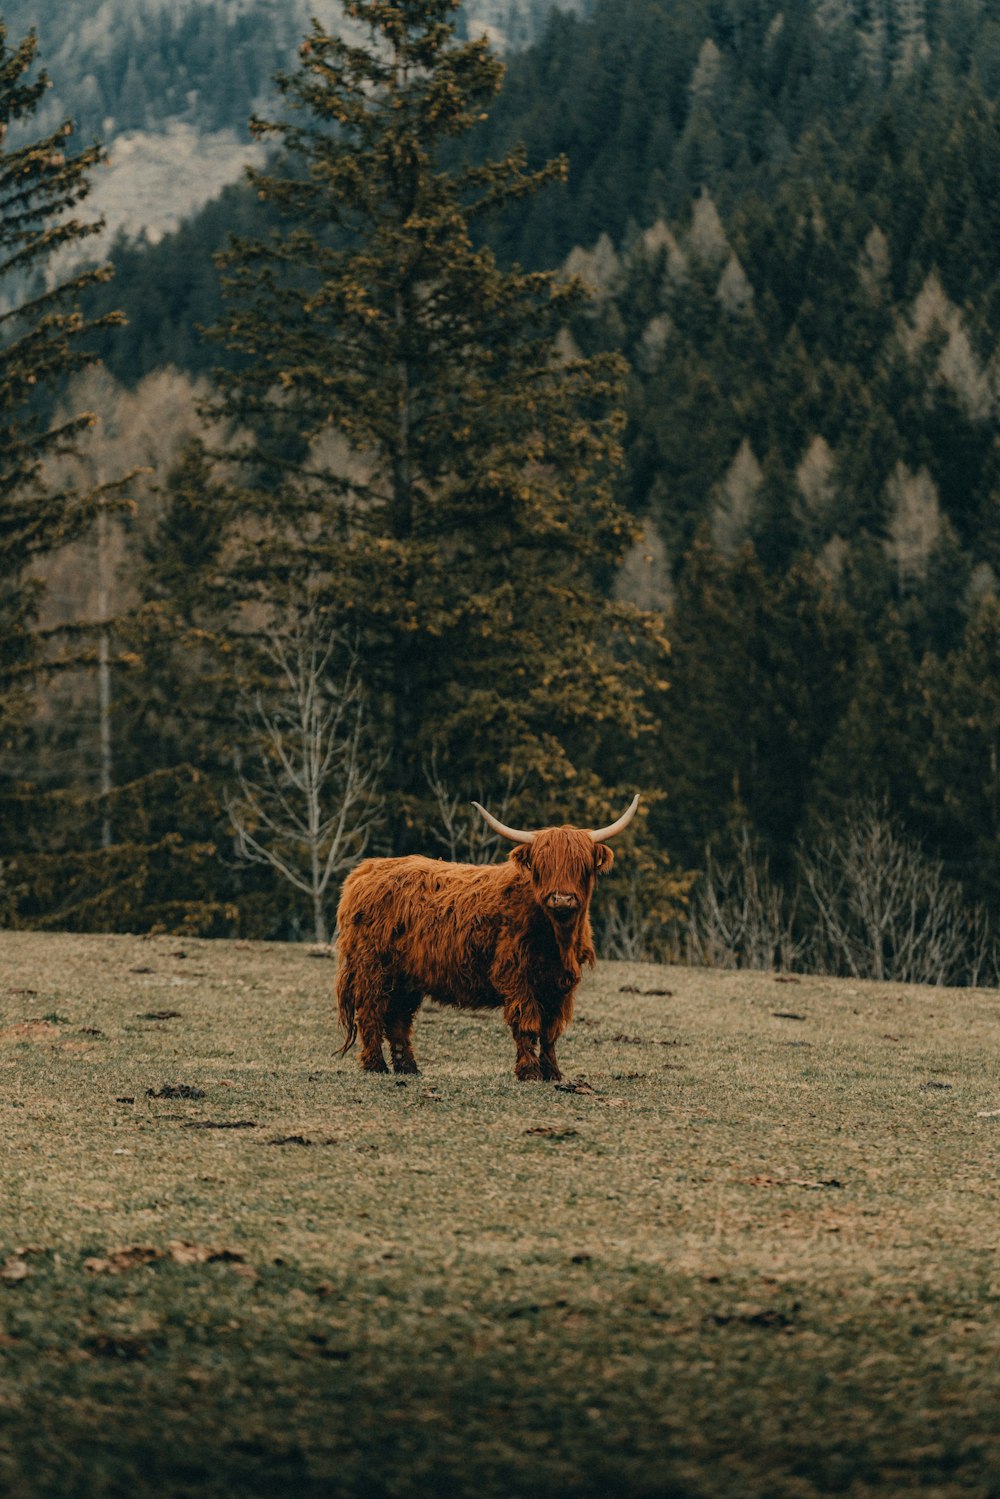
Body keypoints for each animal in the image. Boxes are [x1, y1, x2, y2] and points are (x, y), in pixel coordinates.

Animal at [332, 791, 638, 1085]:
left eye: (581, 865)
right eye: (542, 866)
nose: (561, 898)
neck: (557, 940)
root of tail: (364, 871)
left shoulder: (560, 985)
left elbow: (550, 1031)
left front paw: (553, 1073)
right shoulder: (516, 975)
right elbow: (527, 1024)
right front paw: (529, 1073)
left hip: (406, 977)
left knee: (398, 1019)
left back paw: (408, 1068)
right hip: (373, 968)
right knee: (371, 1012)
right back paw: (376, 1065)